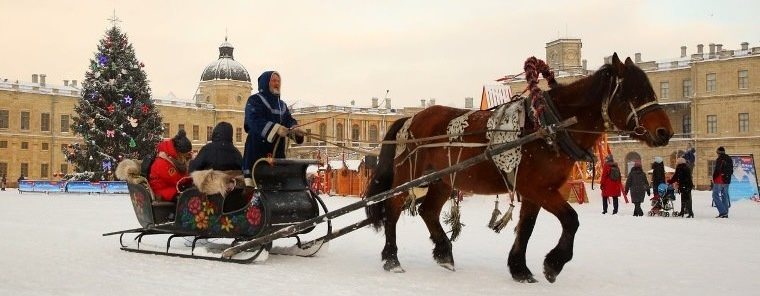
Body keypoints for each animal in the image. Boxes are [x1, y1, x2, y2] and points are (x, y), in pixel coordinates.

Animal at [366, 52, 672, 282]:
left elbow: (526, 227)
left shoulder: (536, 191)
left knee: (428, 211)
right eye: (633, 93)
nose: (664, 132)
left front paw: (520, 269)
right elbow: (571, 219)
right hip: (409, 177)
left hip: (443, 180)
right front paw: (553, 264)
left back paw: (444, 253)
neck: (548, 125)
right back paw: (392, 258)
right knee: (393, 210)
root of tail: (410, 119)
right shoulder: (538, 189)